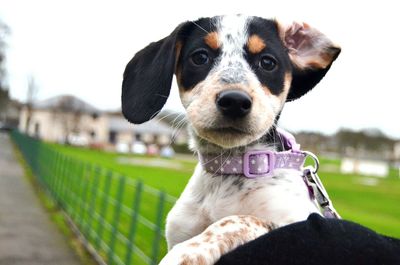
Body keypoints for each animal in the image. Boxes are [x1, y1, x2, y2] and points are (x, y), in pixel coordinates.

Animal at [120, 15, 340, 262]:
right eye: (200, 57)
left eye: (267, 62)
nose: (235, 100)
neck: (229, 168)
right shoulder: (181, 228)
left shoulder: (296, 223)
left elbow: (236, 221)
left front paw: (187, 253)